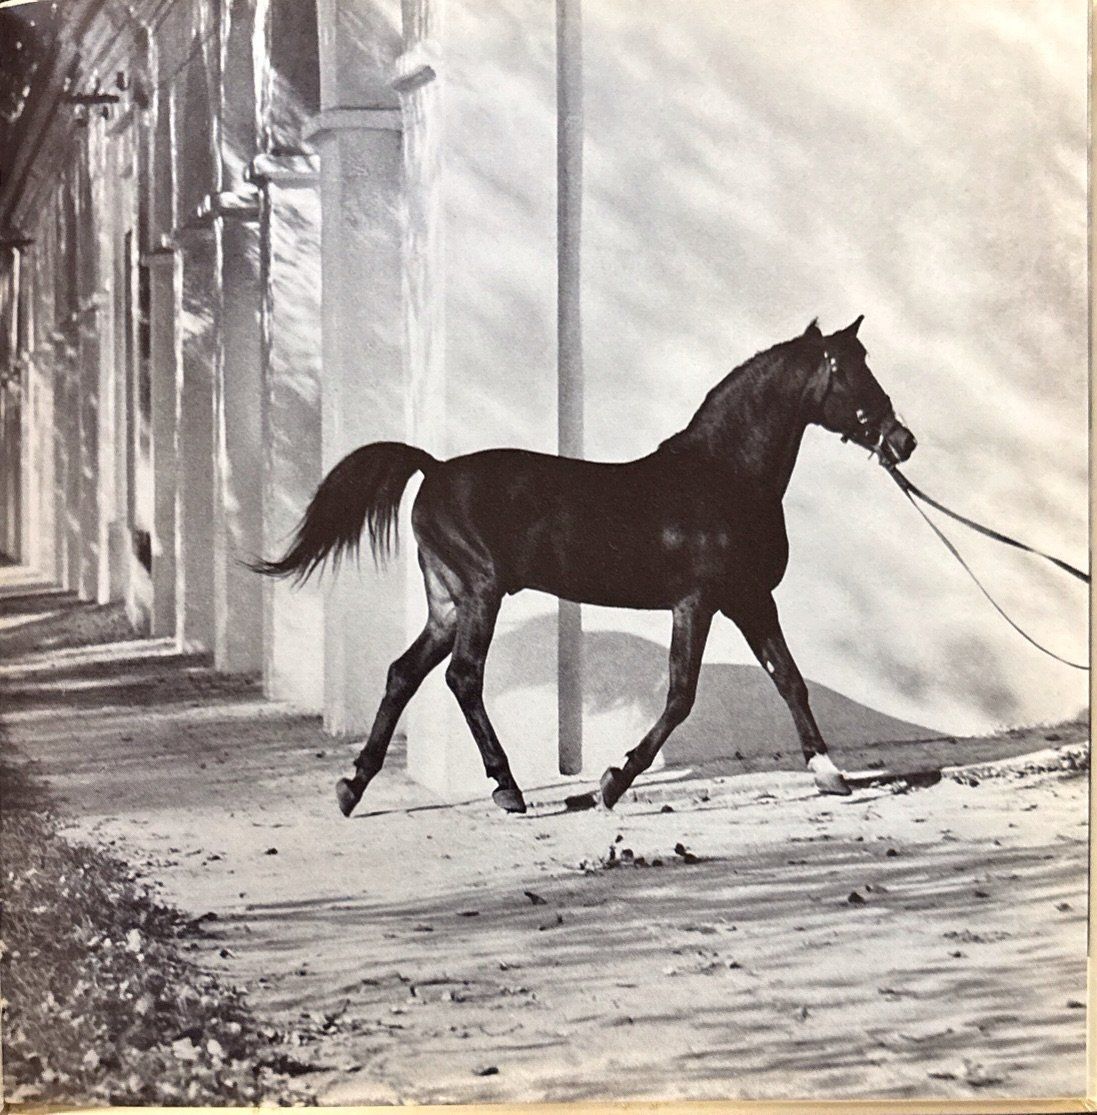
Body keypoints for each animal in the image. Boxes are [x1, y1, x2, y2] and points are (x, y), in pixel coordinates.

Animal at [253, 316, 916, 817]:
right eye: (850, 370)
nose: (902, 440)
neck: (722, 477)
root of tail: (434, 467)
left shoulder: (751, 599)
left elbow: (789, 679)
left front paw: (829, 772)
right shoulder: (698, 603)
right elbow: (681, 694)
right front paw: (611, 783)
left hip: (446, 603)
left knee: (402, 674)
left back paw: (353, 786)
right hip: (480, 594)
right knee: (463, 677)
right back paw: (507, 788)